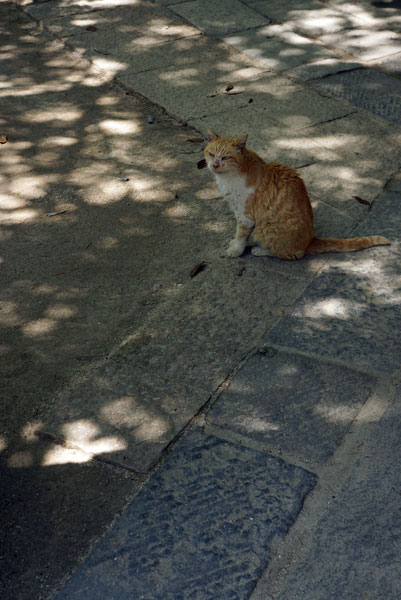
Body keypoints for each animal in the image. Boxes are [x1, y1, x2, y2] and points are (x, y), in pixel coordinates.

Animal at [203, 129, 388, 260]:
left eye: (226, 157)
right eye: (211, 154)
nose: (214, 165)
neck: (229, 178)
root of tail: (310, 241)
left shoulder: (245, 215)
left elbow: (241, 234)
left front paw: (235, 250)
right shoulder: (239, 211)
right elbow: (240, 234)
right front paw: (236, 243)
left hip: (266, 228)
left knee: (292, 254)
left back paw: (260, 250)